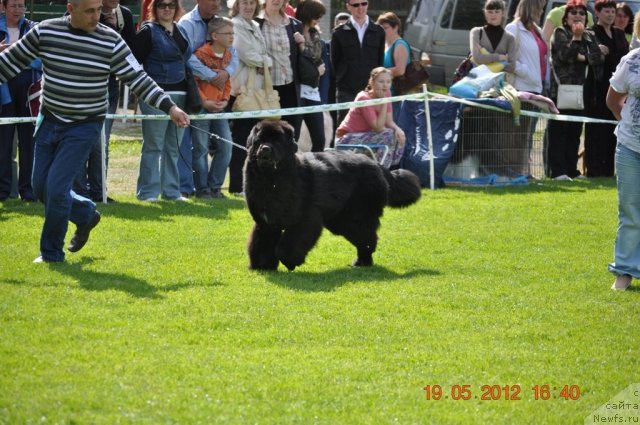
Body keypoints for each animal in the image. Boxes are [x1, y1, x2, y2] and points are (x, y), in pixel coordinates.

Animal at [242, 121, 422, 270]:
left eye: (278, 141)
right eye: (259, 140)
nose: (265, 149)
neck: (270, 179)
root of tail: (375, 163)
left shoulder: (305, 218)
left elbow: (287, 245)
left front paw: (290, 262)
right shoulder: (266, 222)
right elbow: (262, 242)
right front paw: (262, 265)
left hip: (357, 215)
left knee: (367, 238)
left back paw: (363, 261)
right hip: (341, 220)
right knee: (363, 238)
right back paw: (361, 262)